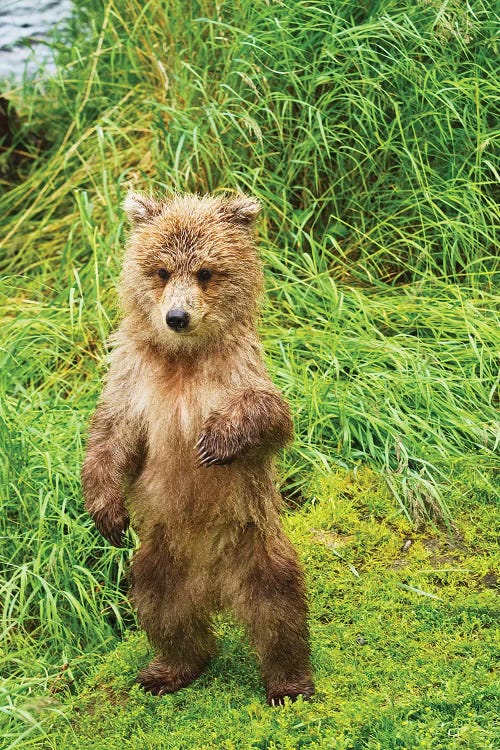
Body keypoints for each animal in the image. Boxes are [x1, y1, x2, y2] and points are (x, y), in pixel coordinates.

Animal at [83, 191, 316, 708]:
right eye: (162, 271)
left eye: (206, 272)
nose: (177, 317)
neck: (184, 358)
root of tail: (215, 588)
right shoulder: (133, 379)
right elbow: (112, 436)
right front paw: (107, 513)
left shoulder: (237, 368)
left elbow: (272, 414)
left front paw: (214, 442)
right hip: (161, 555)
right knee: (160, 607)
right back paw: (169, 669)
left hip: (256, 544)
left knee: (280, 608)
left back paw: (289, 683)